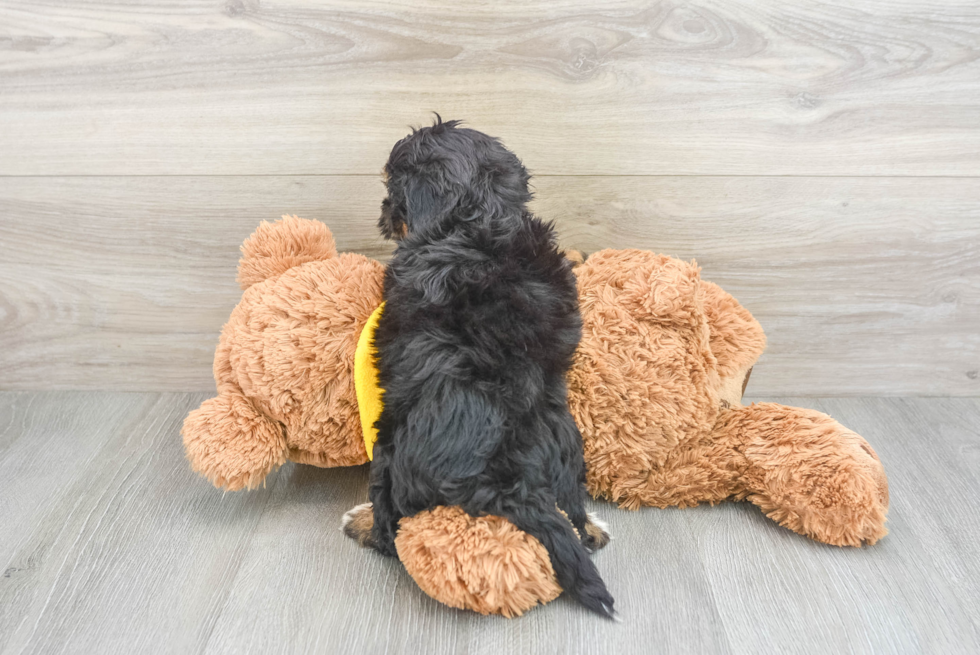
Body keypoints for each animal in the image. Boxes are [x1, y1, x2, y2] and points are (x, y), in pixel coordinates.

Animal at [344, 119, 612, 620]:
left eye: (393, 188)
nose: (385, 212)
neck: (483, 220)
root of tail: (507, 479)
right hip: (568, 439)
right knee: (573, 508)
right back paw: (590, 527)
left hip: (390, 445)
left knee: (392, 528)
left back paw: (363, 523)